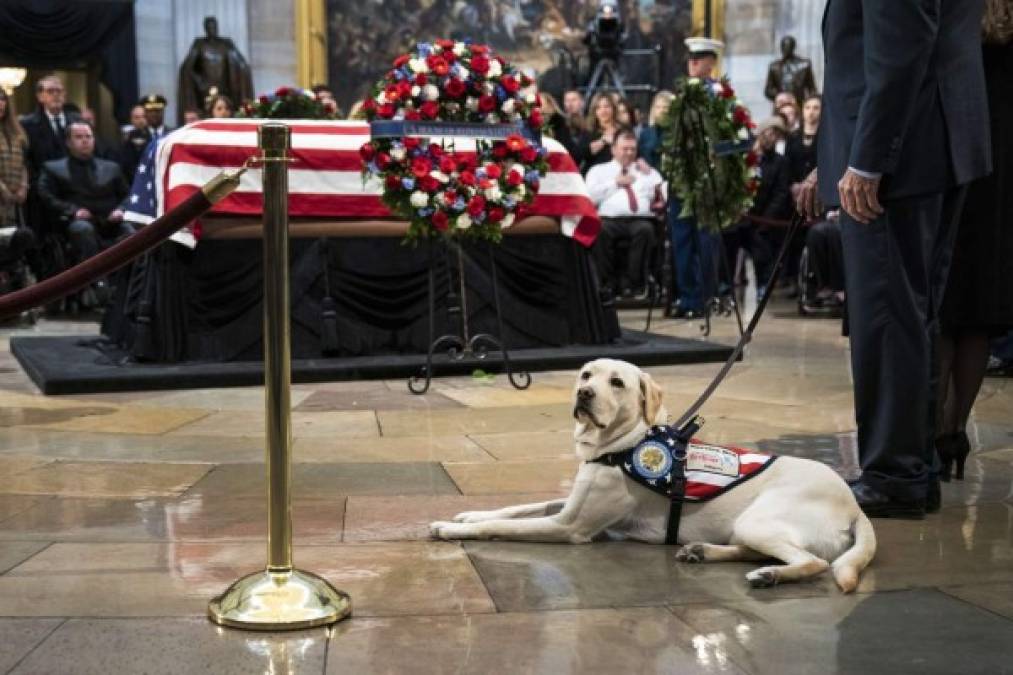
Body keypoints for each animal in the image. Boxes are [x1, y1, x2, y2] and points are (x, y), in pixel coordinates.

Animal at [431, 356, 875, 587]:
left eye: (617, 383)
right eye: (586, 375)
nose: (584, 394)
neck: (619, 445)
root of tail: (853, 505)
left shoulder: (570, 526)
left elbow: (505, 526)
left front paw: (450, 528)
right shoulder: (569, 504)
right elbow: (514, 509)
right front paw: (468, 514)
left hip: (760, 520)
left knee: (815, 563)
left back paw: (769, 575)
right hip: (747, 527)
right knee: (757, 550)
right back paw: (703, 552)